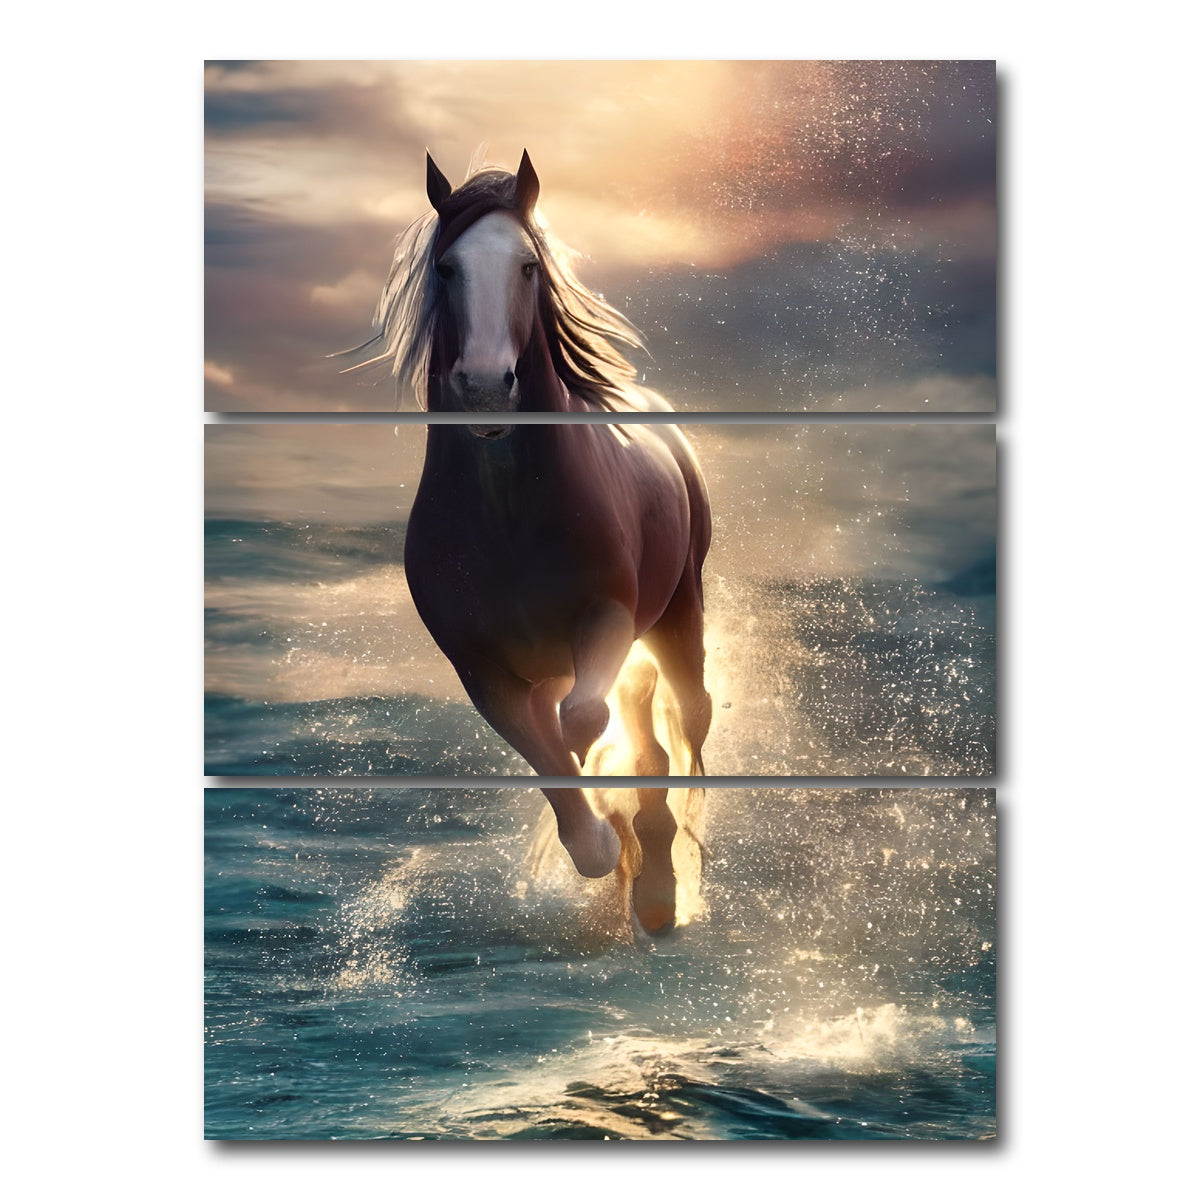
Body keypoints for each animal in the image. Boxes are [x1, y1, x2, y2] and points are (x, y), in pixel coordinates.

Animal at [356, 151, 711, 931]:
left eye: (527, 267)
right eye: (448, 268)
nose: (487, 388)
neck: (508, 517)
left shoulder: (607, 618)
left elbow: (585, 721)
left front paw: (627, 844)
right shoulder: (481, 670)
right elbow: (549, 757)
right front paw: (600, 846)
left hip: (678, 612)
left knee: (680, 717)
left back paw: (661, 882)